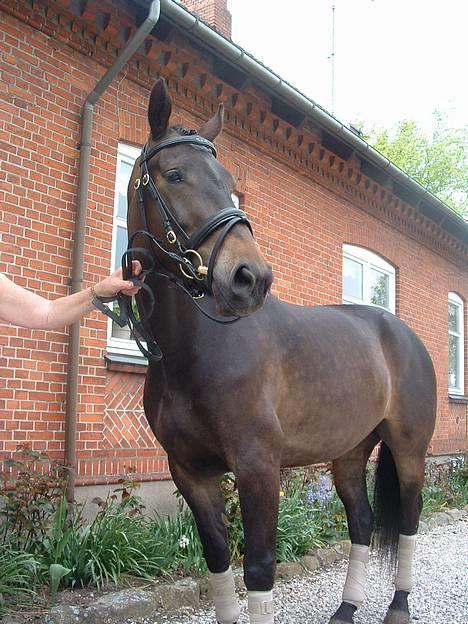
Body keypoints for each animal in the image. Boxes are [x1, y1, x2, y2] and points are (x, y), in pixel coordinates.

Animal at [126, 79, 436, 624]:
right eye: (175, 174)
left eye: (228, 180)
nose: (250, 277)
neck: (195, 352)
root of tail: (404, 335)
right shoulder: (189, 473)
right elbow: (218, 563)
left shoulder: (258, 466)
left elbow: (259, 570)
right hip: (349, 451)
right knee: (361, 521)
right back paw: (346, 609)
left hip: (409, 450)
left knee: (409, 522)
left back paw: (397, 605)